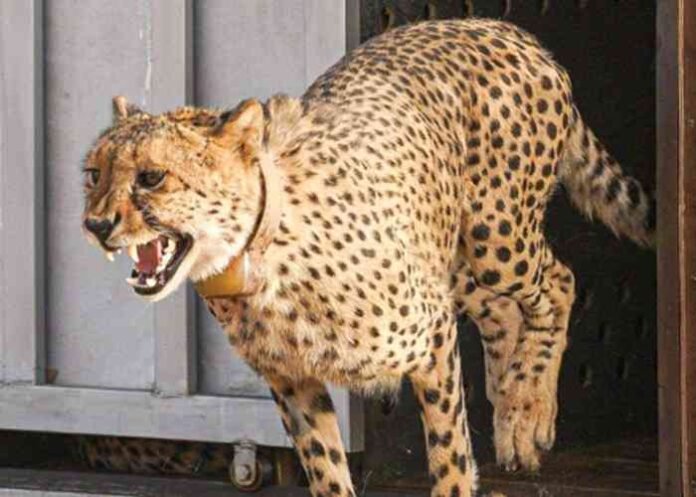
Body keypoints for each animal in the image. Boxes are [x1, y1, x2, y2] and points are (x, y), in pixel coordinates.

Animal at [81, 18, 654, 497]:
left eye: (151, 176)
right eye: (93, 174)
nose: (96, 225)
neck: (257, 256)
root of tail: (499, 27)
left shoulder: (432, 337)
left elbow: (448, 451)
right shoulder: (291, 379)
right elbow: (326, 467)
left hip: (497, 238)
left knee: (558, 282)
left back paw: (528, 407)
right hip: (451, 257)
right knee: (502, 309)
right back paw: (510, 404)